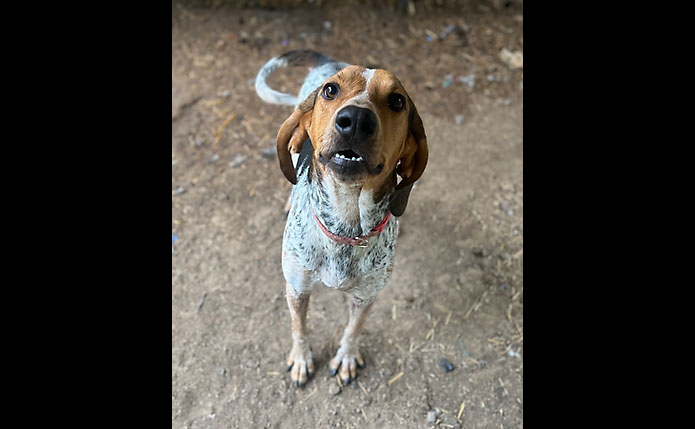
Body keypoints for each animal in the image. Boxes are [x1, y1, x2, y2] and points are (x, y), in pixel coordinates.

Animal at [256, 51, 430, 388]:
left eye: (397, 101)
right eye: (331, 90)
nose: (357, 120)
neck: (346, 226)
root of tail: (328, 60)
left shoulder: (366, 297)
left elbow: (353, 330)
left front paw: (347, 358)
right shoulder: (296, 289)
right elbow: (299, 329)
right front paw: (301, 359)